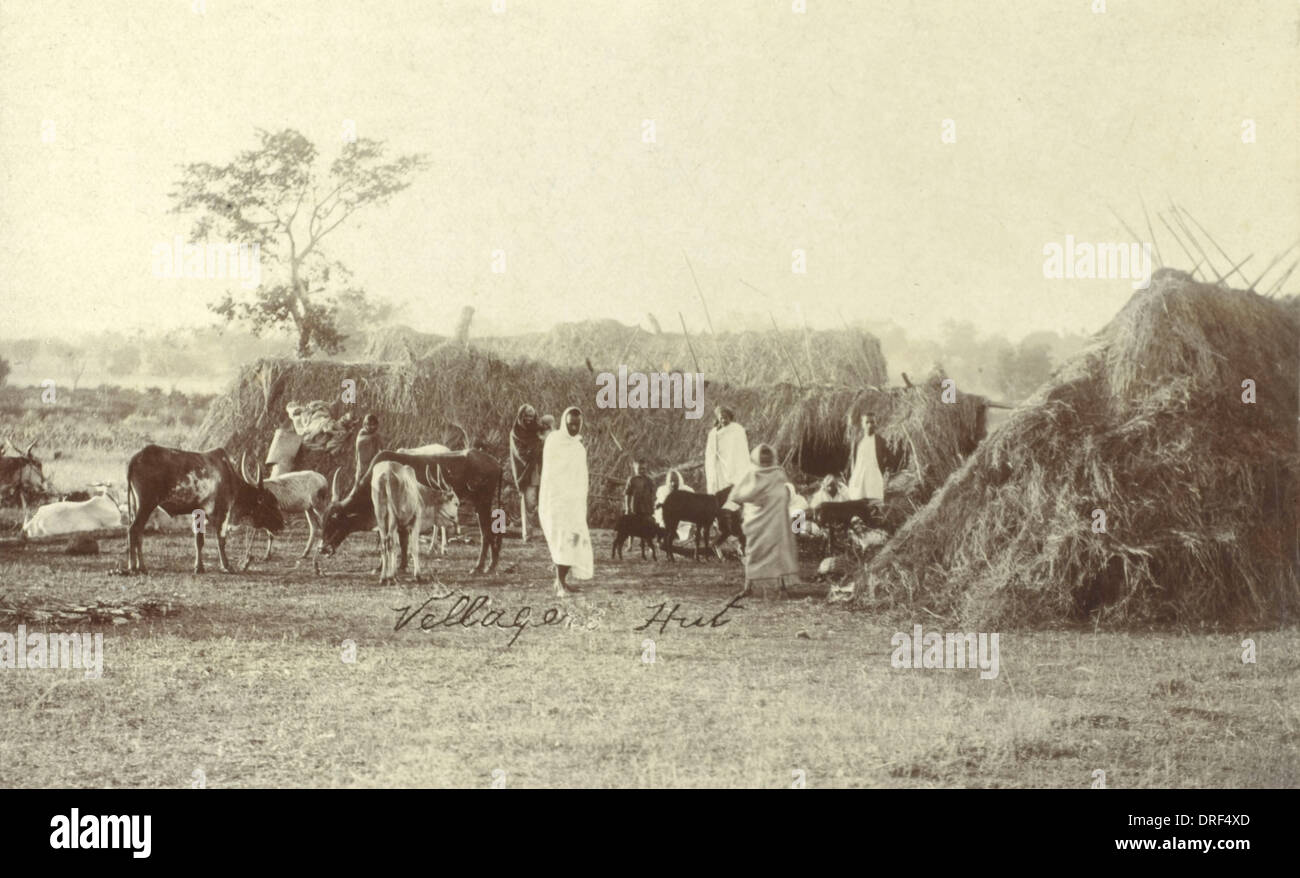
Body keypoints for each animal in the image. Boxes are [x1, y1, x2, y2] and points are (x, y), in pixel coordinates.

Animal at [122, 447, 284, 577]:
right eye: (271, 503)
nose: (282, 525)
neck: (230, 478)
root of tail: (137, 457)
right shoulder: (224, 511)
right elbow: (221, 540)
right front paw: (227, 566)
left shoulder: (199, 512)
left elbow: (199, 541)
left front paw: (199, 567)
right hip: (146, 505)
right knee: (133, 530)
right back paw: (135, 567)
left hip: (137, 506)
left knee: (138, 533)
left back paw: (139, 566)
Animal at [319, 450, 501, 572]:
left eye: (335, 522)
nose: (322, 549)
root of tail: (496, 462)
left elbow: (398, 539)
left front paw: (396, 566)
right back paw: (491, 565)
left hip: (483, 503)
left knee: (486, 534)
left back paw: (481, 567)